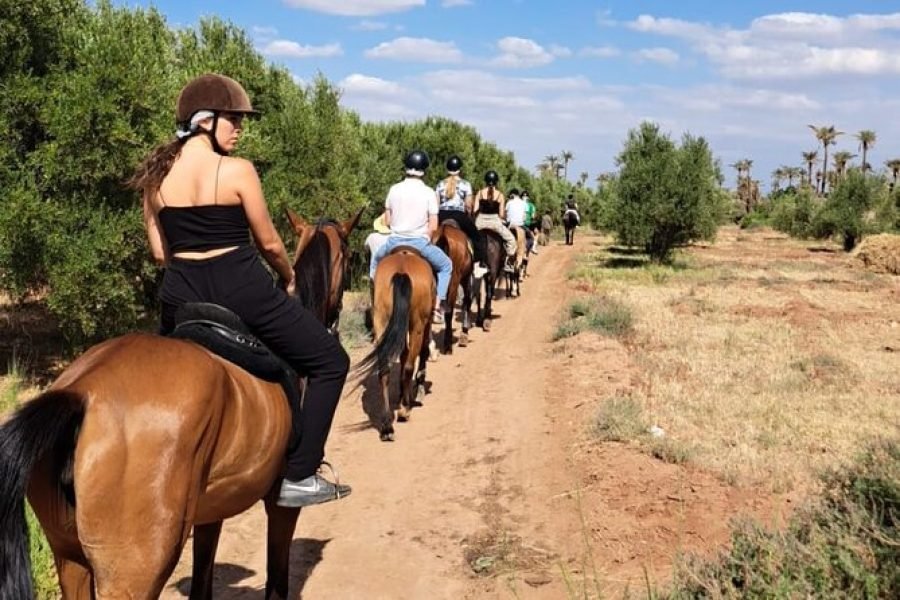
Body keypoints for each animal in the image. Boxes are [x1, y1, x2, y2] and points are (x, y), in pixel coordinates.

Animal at [1, 209, 364, 596]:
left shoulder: (211, 512)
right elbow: (277, 581)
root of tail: (82, 393)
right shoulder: (281, 506)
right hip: (135, 571)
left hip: (70, 560)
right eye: (349, 254)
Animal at [356, 247, 432, 440]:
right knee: (409, 365)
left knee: (384, 371)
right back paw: (405, 409)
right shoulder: (425, 324)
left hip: (381, 321)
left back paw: (386, 426)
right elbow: (422, 352)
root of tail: (401, 271)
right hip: (417, 324)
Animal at [432, 219, 474, 352]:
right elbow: (467, 301)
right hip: (454, 280)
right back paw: (448, 345)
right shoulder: (466, 279)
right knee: (449, 310)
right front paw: (465, 331)